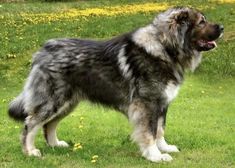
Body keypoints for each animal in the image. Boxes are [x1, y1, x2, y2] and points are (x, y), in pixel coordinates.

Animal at [8, 7, 222, 162]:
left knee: (49, 124)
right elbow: (149, 133)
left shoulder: (161, 104)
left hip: (67, 103)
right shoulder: (148, 105)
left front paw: (164, 148)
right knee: (30, 124)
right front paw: (155, 155)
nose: (221, 28)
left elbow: (160, 130)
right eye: (202, 22)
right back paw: (30, 151)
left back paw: (55, 144)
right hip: (53, 101)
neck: (165, 48)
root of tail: (43, 50)